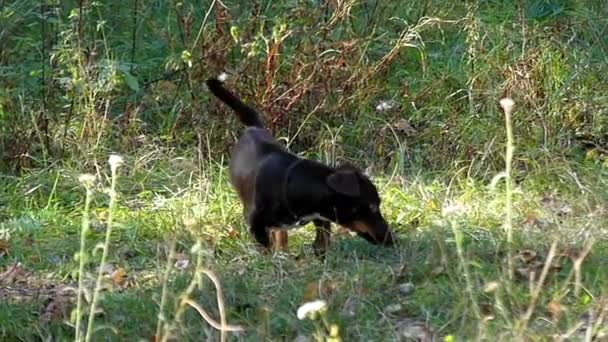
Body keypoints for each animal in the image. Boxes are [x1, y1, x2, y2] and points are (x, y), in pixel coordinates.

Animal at [205, 77, 394, 254]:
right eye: (372, 207)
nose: (391, 241)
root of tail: (253, 127)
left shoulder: (320, 217)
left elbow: (322, 239)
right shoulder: (255, 224)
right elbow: (265, 249)